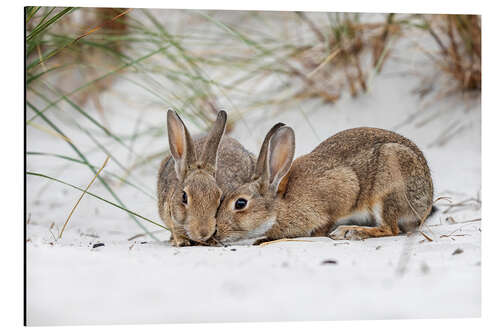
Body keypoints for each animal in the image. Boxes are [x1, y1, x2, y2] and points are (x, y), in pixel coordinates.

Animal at [213, 124, 436, 244]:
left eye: (240, 203)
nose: (216, 232)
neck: (280, 207)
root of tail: (426, 199)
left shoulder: (342, 189)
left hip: (387, 190)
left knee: (390, 228)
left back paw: (350, 231)